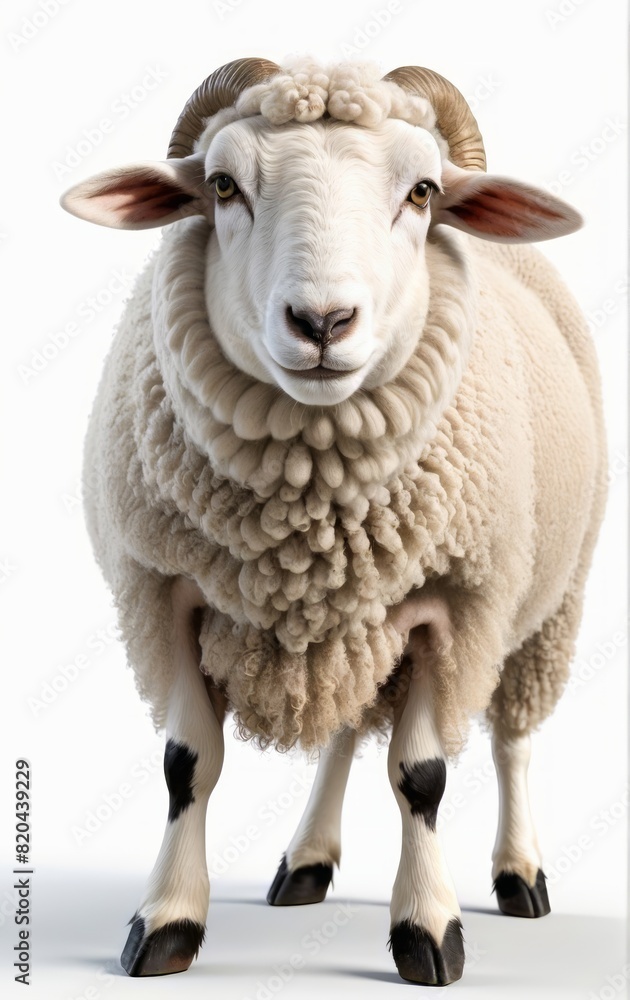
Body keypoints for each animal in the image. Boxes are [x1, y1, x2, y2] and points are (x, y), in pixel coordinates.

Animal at [60, 57, 606, 985]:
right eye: (222, 185)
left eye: (422, 191)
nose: (322, 323)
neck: (307, 519)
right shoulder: (160, 595)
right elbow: (186, 765)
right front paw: (166, 921)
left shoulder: (457, 611)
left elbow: (421, 776)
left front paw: (428, 930)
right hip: (355, 631)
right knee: (346, 732)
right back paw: (308, 860)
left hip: (547, 605)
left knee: (513, 739)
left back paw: (519, 873)